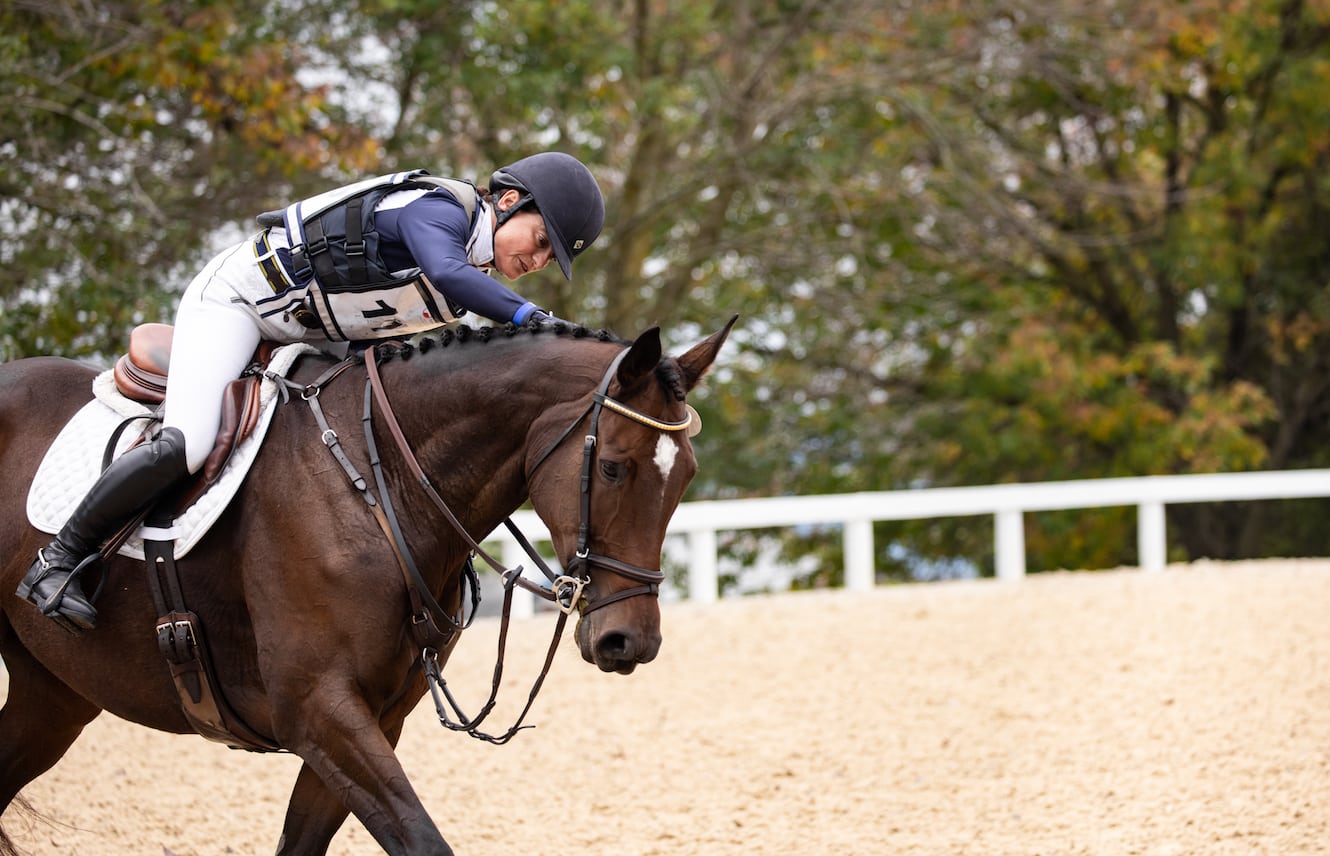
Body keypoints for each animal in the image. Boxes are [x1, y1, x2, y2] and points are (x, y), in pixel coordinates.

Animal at [0, 316, 739, 856]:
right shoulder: (319, 712)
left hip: (53, 698)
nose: (629, 641)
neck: (376, 480)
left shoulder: (371, 721)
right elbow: (422, 841)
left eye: (687, 475)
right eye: (612, 467)